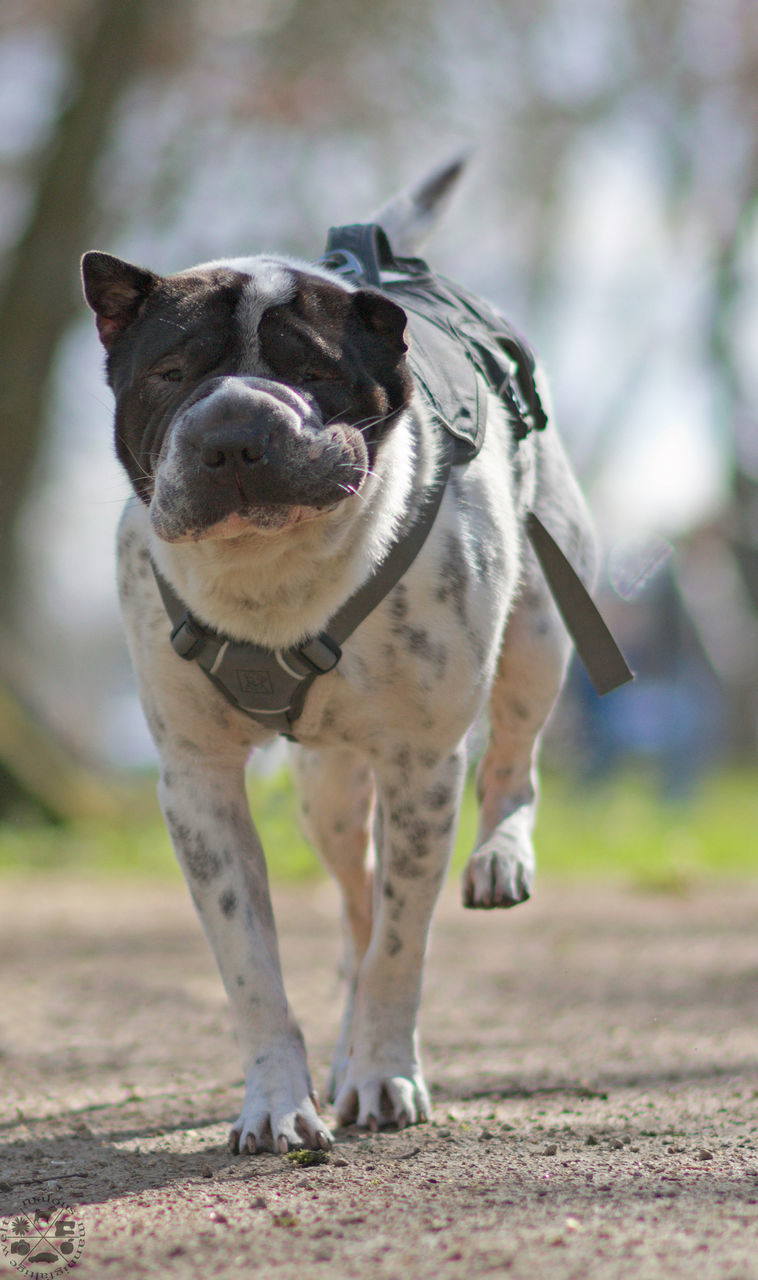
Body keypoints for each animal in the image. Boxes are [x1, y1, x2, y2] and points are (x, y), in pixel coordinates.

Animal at [83, 157, 601, 1152]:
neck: (272, 573)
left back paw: (500, 859)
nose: (234, 430)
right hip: (323, 792)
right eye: (170, 373)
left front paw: (385, 1076)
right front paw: (279, 1100)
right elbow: (254, 966)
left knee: (513, 766)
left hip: (540, 632)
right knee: (357, 911)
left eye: (314, 371)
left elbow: (405, 942)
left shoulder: (422, 767)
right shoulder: (199, 784)